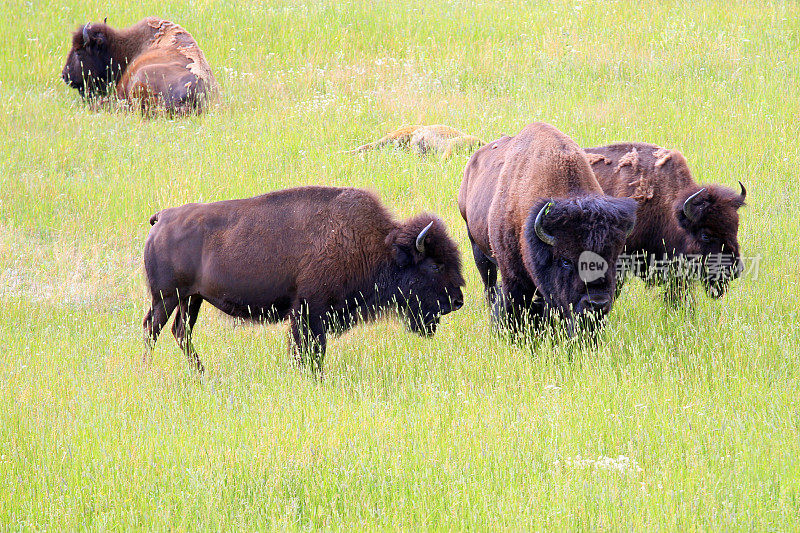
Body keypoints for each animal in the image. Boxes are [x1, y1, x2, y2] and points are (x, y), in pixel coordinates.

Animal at [142, 187, 462, 374]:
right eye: (435, 265)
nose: (457, 301)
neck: (377, 247)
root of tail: (163, 217)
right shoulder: (310, 310)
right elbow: (310, 347)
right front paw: (311, 376)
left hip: (191, 298)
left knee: (180, 332)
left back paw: (202, 374)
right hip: (167, 297)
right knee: (152, 329)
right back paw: (148, 372)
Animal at [456, 122, 636, 334]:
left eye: (612, 259)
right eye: (566, 260)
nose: (597, 303)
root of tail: (472, 163)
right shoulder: (513, 276)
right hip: (477, 246)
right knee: (489, 284)